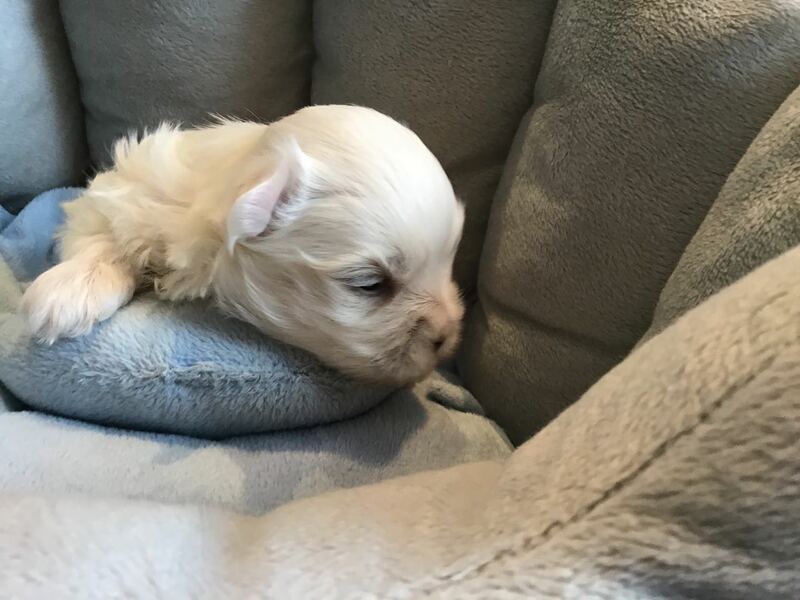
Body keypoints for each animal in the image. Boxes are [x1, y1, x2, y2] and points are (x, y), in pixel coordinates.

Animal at [21, 105, 465, 384]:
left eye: (448, 264)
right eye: (370, 284)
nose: (447, 336)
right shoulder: (120, 196)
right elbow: (100, 233)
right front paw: (68, 291)